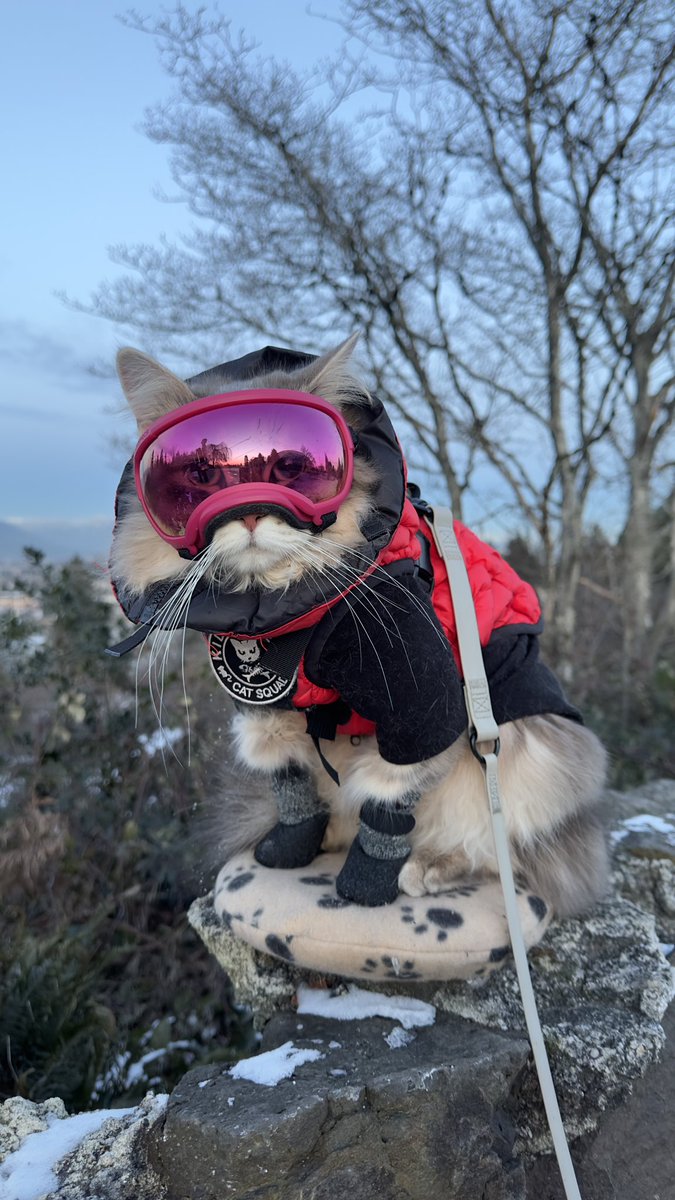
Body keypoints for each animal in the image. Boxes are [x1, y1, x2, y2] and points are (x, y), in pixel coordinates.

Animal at [109, 338, 605, 916]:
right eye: (201, 476)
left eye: (291, 469)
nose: (250, 511)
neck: (278, 612)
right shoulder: (266, 712)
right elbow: (291, 789)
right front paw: (289, 848)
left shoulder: (422, 708)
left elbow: (390, 804)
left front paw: (366, 882)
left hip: (524, 757)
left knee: (489, 845)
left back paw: (427, 867)